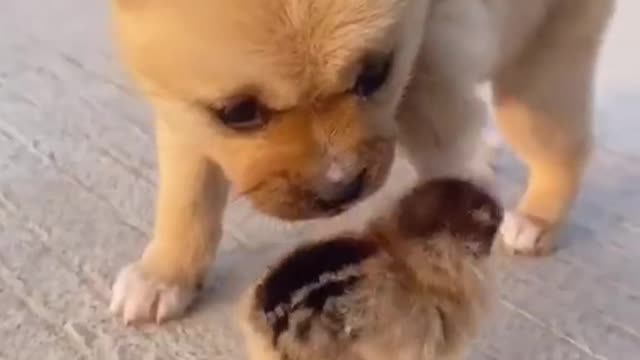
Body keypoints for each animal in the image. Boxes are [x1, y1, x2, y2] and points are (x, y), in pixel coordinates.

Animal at [109, 0, 616, 324]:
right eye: (238, 112)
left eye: (375, 74)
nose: (340, 187)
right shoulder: (184, 112)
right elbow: (188, 198)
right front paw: (166, 274)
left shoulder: (430, 57)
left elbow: (445, 146)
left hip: (534, 79)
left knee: (565, 148)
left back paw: (537, 218)